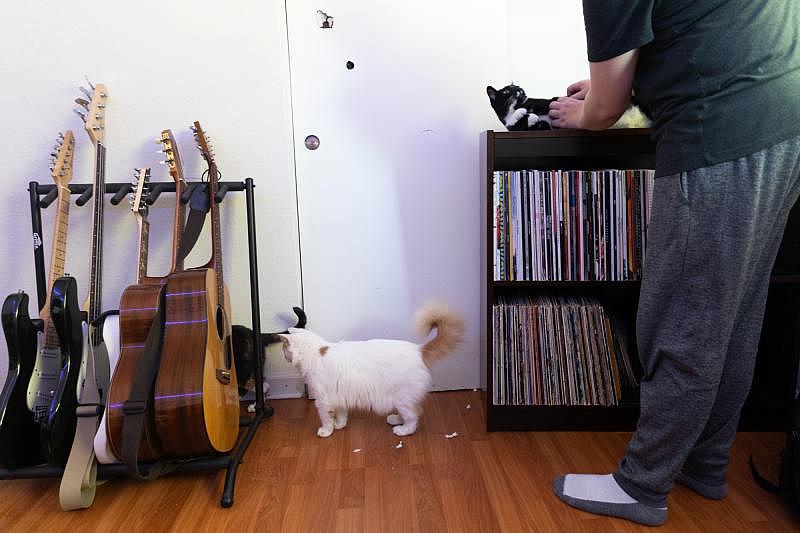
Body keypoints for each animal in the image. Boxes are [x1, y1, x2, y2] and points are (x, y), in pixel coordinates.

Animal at [280, 304, 462, 436]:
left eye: (283, 349)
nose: (283, 356)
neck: (315, 352)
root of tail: (419, 349)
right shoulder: (338, 395)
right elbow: (341, 414)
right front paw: (340, 425)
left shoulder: (323, 401)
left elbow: (326, 418)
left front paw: (326, 431)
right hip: (402, 399)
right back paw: (396, 419)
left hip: (402, 398)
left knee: (414, 415)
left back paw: (402, 430)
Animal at [488, 84, 648, 132]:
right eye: (506, 91)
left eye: (516, 86)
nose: (519, 88)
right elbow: (516, 124)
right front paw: (524, 116)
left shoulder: (548, 102)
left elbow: (552, 101)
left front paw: (523, 112)